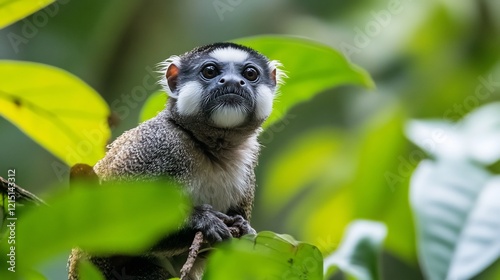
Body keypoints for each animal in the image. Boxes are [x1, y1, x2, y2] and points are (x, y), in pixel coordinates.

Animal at [67, 42, 286, 280]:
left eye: (250, 74)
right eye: (210, 71)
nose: (232, 82)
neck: (208, 148)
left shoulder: (247, 168)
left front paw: (243, 228)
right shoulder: (157, 147)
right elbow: (115, 227)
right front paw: (201, 221)